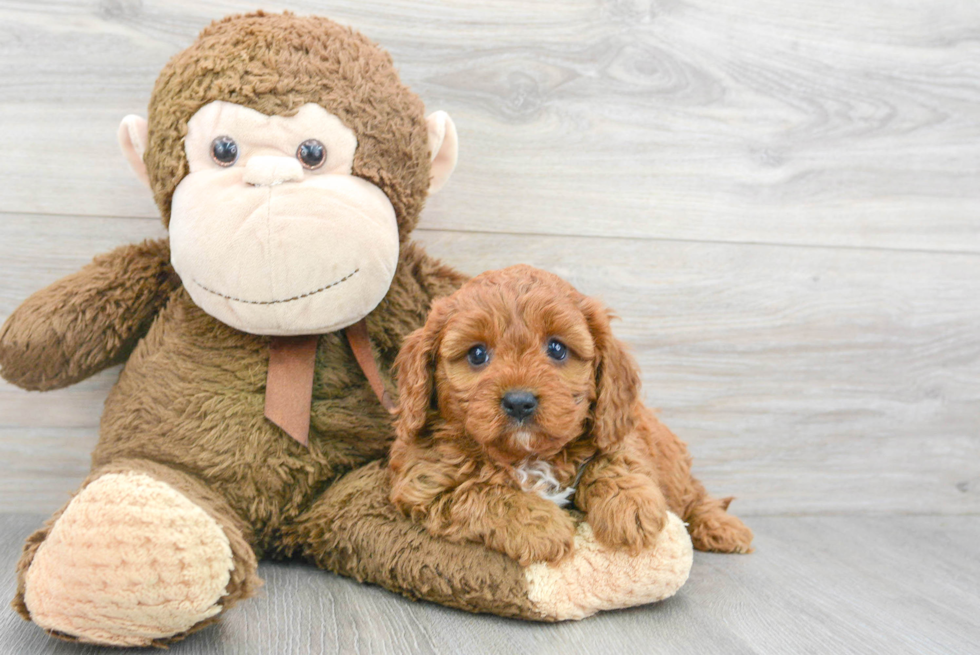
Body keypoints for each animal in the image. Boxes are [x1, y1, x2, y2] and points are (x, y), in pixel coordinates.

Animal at [386, 266, 756, 564]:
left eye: (557, 348)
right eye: (477, 354)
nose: (519, 402)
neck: (529, 456)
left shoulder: (617, 429)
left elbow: (615, 460)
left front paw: (630, 507)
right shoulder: (426, 481)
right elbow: (482, 492)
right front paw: (540, 526)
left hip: (674, 466)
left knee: (695, 495)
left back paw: (724, 528)